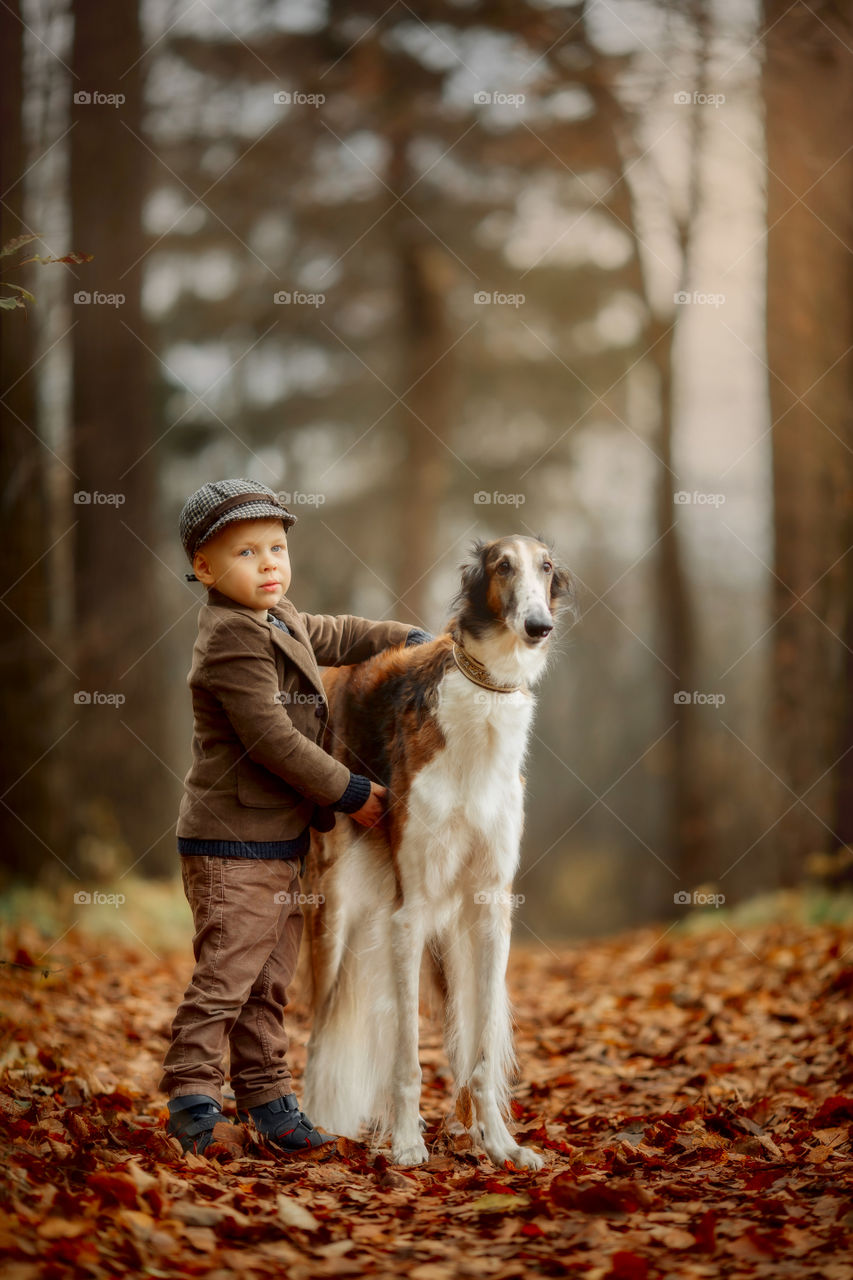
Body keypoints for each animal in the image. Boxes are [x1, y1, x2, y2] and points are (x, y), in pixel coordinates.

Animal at [298, 535, 571, 1167]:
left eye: (546, 567)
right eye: (502, 566)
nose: (538, 626)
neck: (484, 700)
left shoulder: (490, 907)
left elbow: (479, 1051)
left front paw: (500, 1144)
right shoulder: (411, 909)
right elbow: (406, 1055)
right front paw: (405, 1144)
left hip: (446, 936)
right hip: (334, 911)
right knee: (320, 1029)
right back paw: (319, 1121)